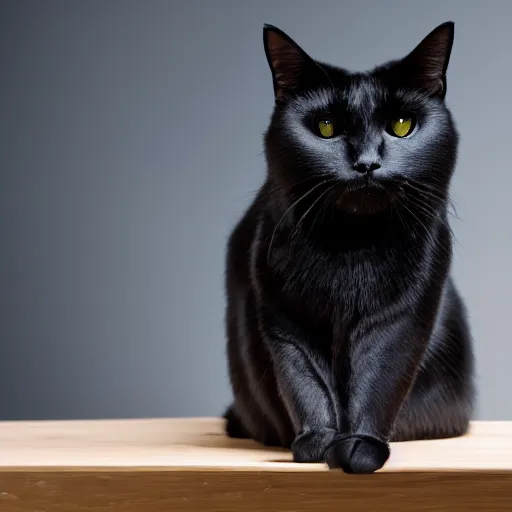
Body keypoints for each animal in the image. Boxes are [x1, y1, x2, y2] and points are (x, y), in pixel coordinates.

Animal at [224, 22, 476, 474]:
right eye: (326, 127)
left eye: (401, 125)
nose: (366, 163)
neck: (352, 246)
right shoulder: (282, 315)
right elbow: (303, 378)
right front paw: (318, 442)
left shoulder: (405, 313)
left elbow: (380, 375)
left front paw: (360, 447)